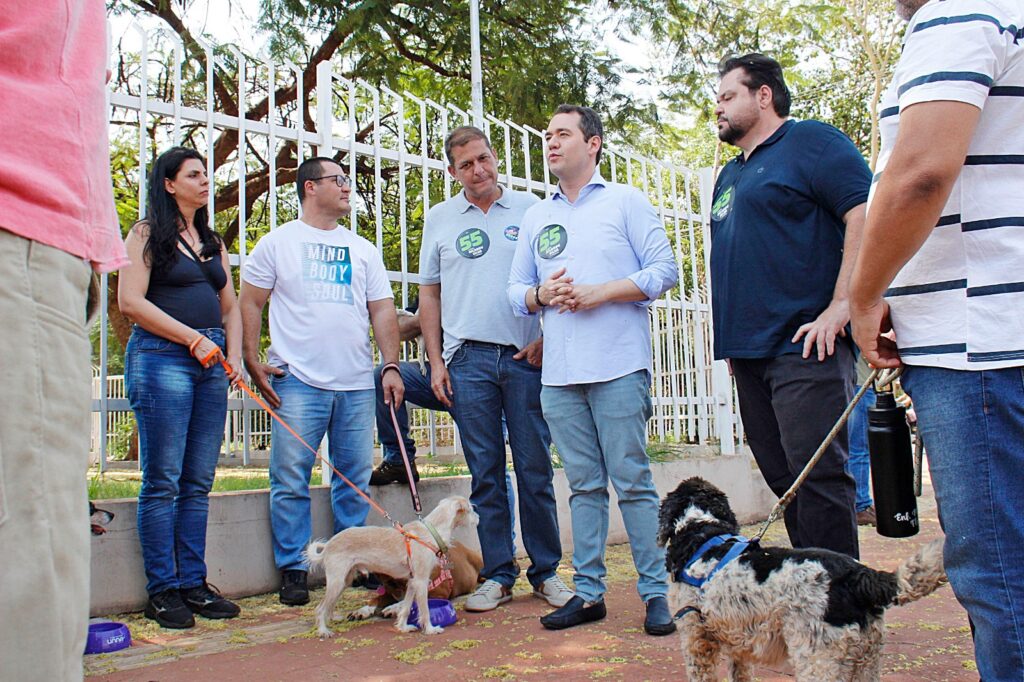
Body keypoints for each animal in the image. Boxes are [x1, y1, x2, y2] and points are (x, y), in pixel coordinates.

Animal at [305, 491, 477, 634]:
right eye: (470, 509)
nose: (478, 518)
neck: (431, 531)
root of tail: (328, 545)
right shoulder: (421, 581)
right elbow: (425, 610)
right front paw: (430, 629)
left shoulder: (412, 582)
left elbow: (406, 607)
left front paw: (402, 626)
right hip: (337, 581)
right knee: (320, 608)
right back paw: (323, 631)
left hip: (344, 581)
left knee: (328, 605)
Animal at [659, 477, 946, 679]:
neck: (701, 530)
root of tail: (860, 576)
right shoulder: (738, 643)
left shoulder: (696, 639)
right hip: (867, 661)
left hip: (819, 660)